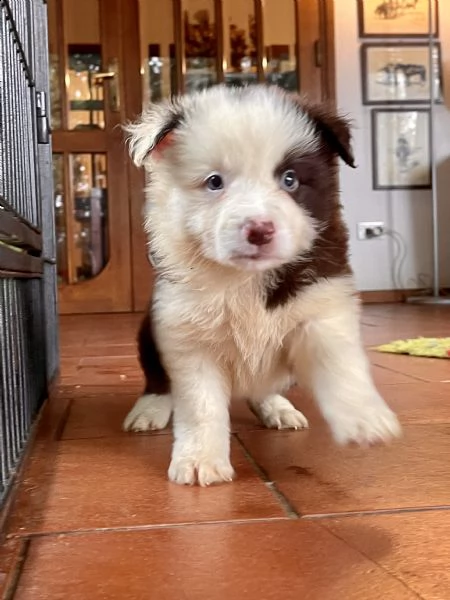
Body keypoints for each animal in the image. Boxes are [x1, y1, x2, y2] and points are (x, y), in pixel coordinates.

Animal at [124, 84, 400, 486]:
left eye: (290, 179)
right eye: (214, 182)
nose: (259, 230)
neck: (243, 277)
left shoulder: (321, 302)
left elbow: (337, 360)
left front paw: (364, 416)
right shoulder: (186, 333)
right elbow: (200, 404)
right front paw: (199, 460)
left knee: (263, 386)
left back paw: (278, 408)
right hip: (149, 331)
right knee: (158, 378)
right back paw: (149, 410)